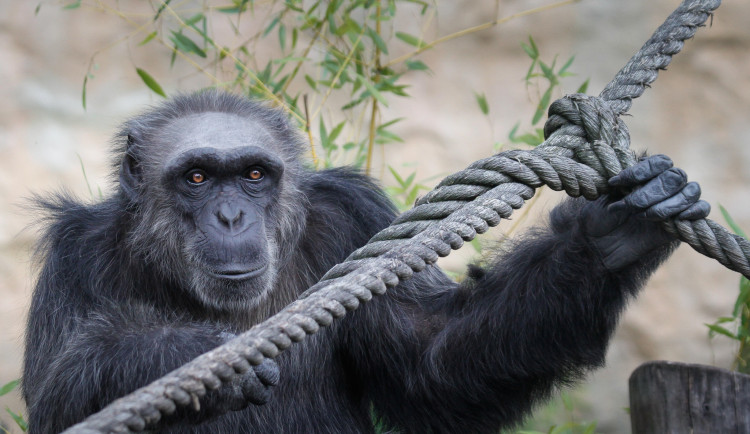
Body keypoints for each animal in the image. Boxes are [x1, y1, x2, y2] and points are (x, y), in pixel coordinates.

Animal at [23, 90, 712, 432]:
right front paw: (190, 357)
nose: (231, 216)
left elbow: (434, 359)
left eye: (252, 175)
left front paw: (612, 234)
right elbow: (54, 399)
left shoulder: (353, 221)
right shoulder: (76, 256)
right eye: (196, 177)